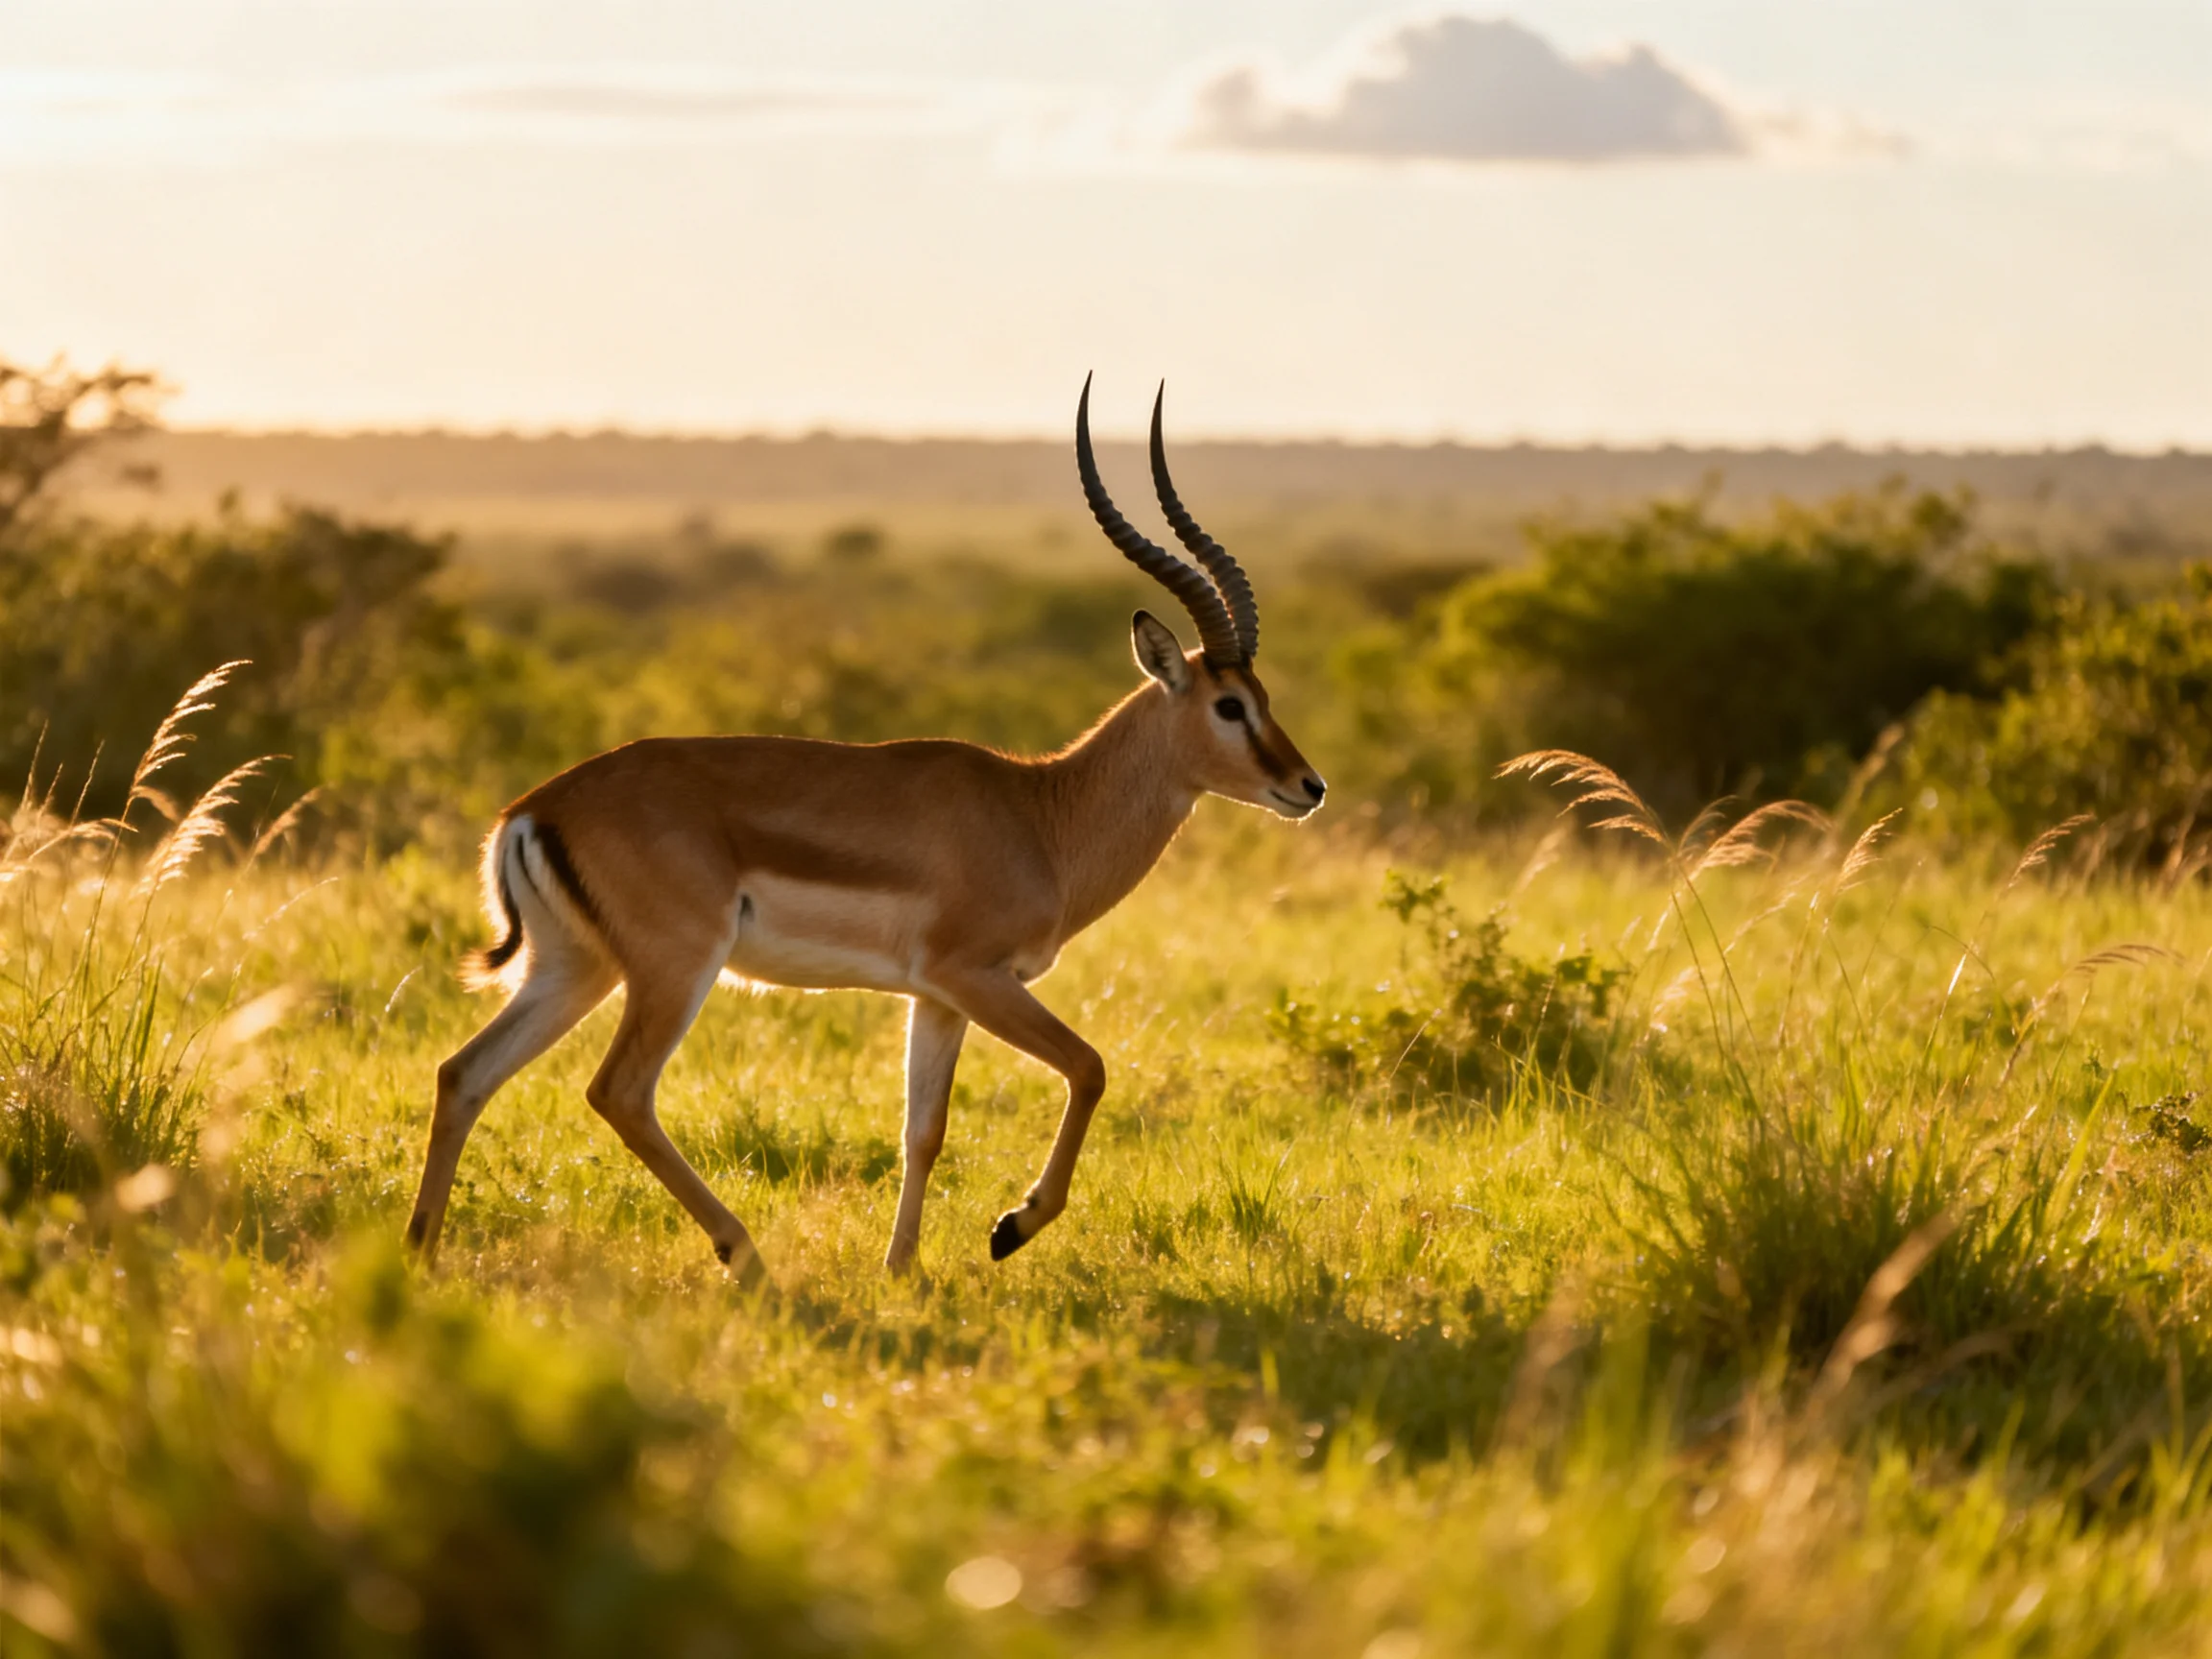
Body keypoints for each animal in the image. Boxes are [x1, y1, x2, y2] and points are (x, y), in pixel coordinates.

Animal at [405, 378, 1326, 1284]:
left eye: (1267, 696)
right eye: (1229, 705)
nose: (1306, 787)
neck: (1040, 815)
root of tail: (535, 809)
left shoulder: (938, 997)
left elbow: (924, 1130)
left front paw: (903, 1268)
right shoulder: (975, 976)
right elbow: (1090, 1066)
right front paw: (1011, 1228)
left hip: (575, 967)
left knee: (465, 1073)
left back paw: (419, 1253)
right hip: (674, 966)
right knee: (618, 1092)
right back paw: (745, 1256)